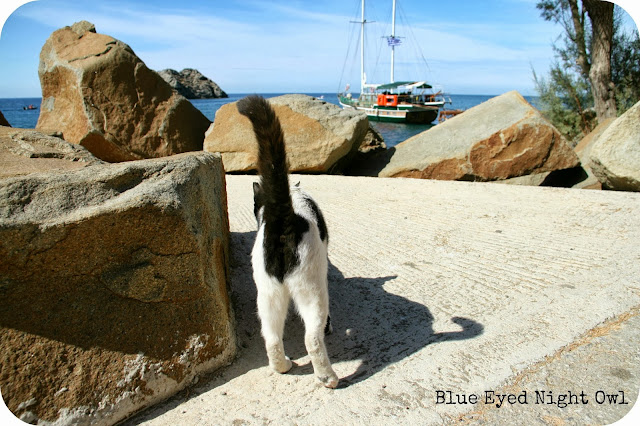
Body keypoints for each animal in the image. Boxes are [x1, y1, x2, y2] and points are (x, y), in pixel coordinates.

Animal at [237, 95, 339, 389]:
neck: (294, 194)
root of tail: (283, 215)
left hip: (268, 293)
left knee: (271, 338)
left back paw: (283, 366)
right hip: (312, 288)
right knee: (312, 338)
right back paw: (328, 377)